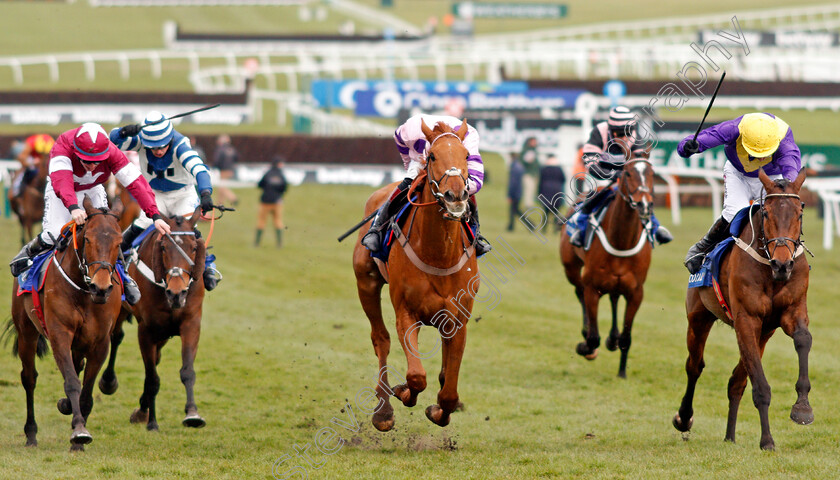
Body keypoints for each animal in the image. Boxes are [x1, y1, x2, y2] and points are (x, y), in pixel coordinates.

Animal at [8, 195, 124, 450]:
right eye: (88, 238)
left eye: (120, 242)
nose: (101, 288)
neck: (83, 291)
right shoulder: (59, 334)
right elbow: (72, 382)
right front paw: (79, 430)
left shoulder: (100, 343)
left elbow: (86, 392)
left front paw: (76, 433)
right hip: (26, 332)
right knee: (29, 378)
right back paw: (31, 434)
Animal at [99, 208, 208, 430]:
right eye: (164, 247)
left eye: (194, 248)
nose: (177, 293)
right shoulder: (147, 330)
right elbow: (152, 379)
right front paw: (152, 422)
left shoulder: (191, 324)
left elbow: (187, 370)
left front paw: (192, 414)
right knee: (116, 337)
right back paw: (109, 381)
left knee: (155, 357)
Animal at [352, 117, 476, 432]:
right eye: (432, 157)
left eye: (466, 156)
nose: (456, 196)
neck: (438, 254)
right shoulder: (406, 313)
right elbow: (416, 376)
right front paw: (403, 393)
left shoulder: (458, 319)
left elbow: (449, 391)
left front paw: (439, 411)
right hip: (366, 282)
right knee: (381, 339)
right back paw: (383, 410)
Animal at [560, 156, 660, 376]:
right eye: (628, 173)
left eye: (652, 174)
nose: (644, 205)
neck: (622, 241)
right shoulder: (592, 287)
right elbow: (593, 337)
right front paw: (586, 347)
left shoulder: (636, 292)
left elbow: (626, 337)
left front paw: (622, 372)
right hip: (571, 268)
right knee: (579, 290)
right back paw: (588, 332)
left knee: (614, 298)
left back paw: (612, 338)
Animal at [672, 169, 812, 450]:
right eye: (766, 213)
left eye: (799, 213)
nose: (782, 264)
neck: (771, 271)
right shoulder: (746, 319)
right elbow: (760, 387)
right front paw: (767, 440)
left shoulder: (791, 311)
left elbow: (804, 338)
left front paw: (802, 408)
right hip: (699, 318)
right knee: (694, 366)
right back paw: (684, 417)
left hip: (764, 333)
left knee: (736, 381)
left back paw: (730, 435)